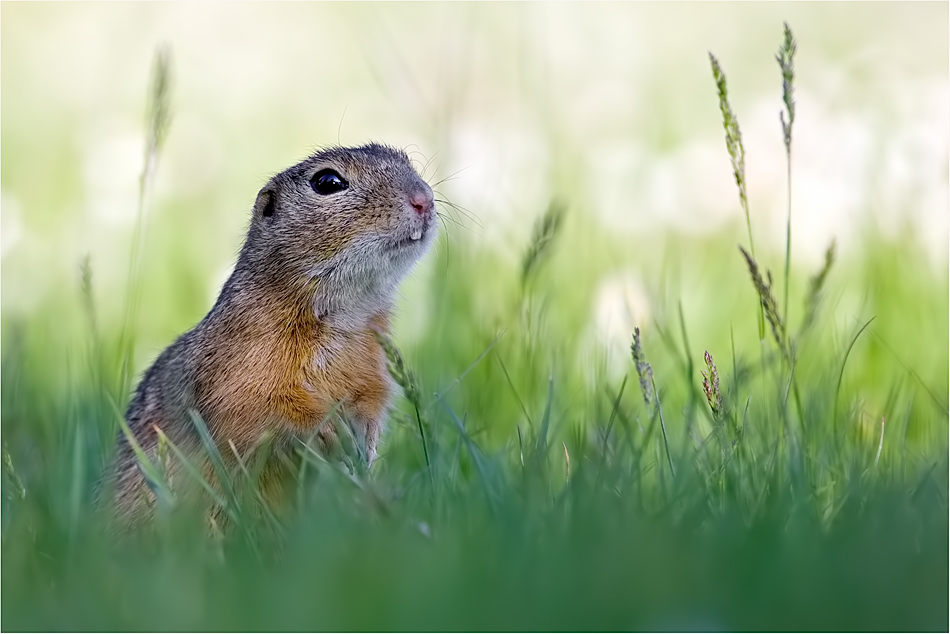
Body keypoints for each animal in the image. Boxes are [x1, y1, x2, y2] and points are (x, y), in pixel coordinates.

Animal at [112, 144, 438, 524]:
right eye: (327, 182)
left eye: (405, 159)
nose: (423, 199)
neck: (345, 313)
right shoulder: (241, 363)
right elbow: (261, 407)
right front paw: (327, 430)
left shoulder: (374, 367)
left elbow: (372, 400)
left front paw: (365, 446)